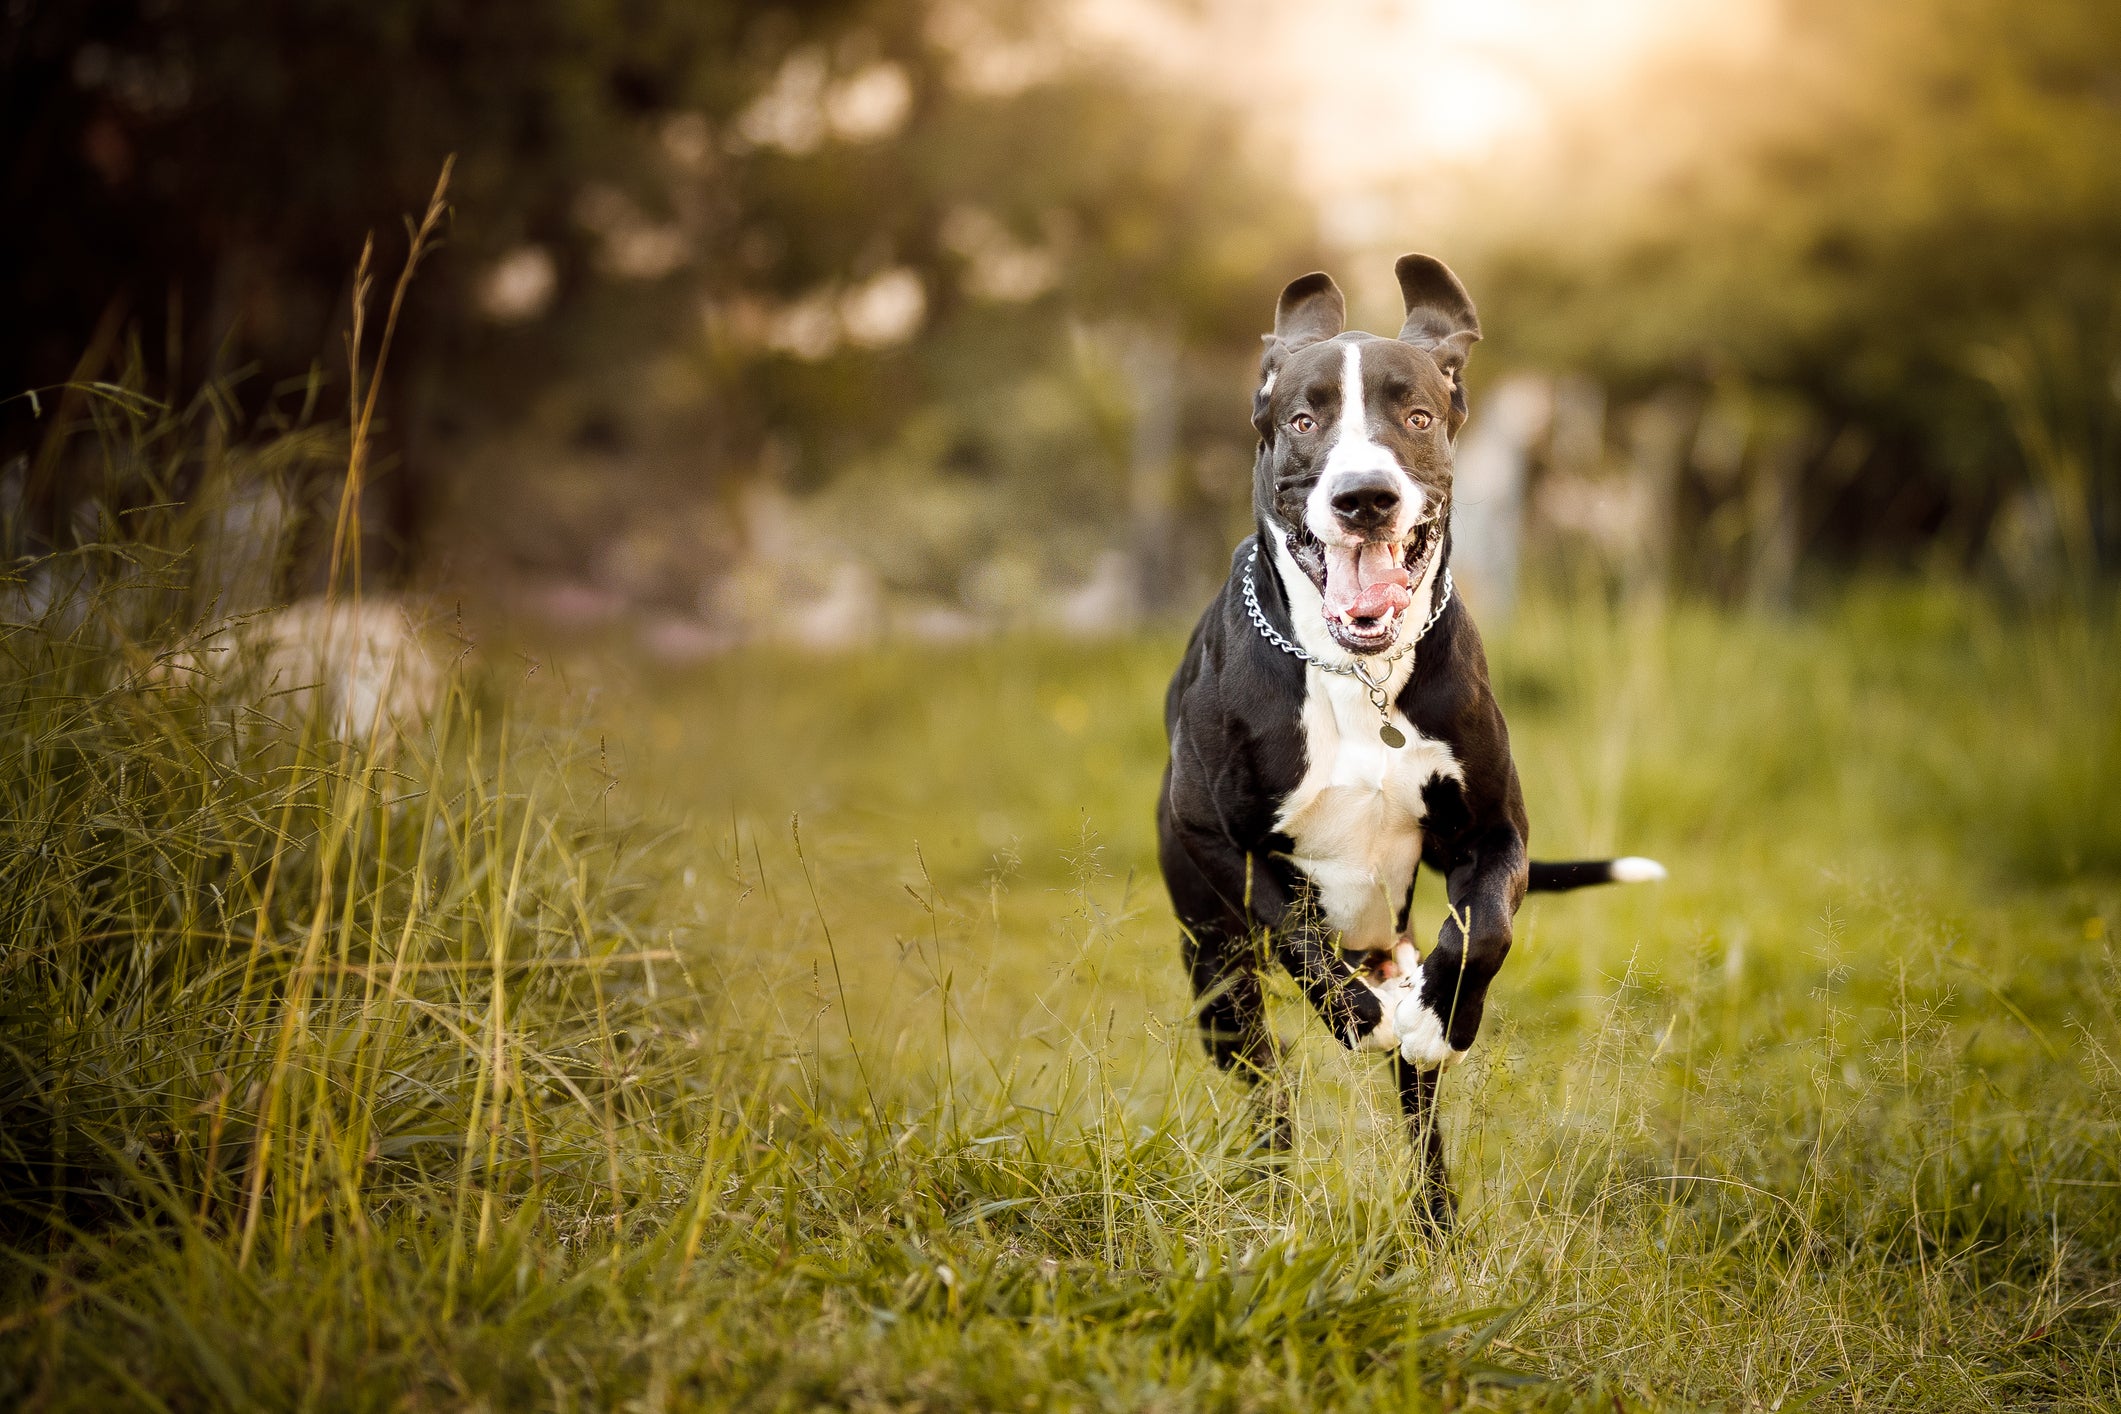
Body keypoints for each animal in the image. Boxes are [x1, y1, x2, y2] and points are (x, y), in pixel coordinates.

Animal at [1153, 257, 1662, 1229]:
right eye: (1303, 421)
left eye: (1417, 418)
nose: (1365, 497)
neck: (1357, 675)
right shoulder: (1215, 840)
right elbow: (1293, 927)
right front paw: (1356, 1017)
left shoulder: (1493, 834)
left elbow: (1482, 932)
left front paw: (1442, 1018)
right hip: (1218, 985)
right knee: (1267, 1092)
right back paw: (1271, 1193)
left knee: (1418, 1113)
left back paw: (1435, 1222)